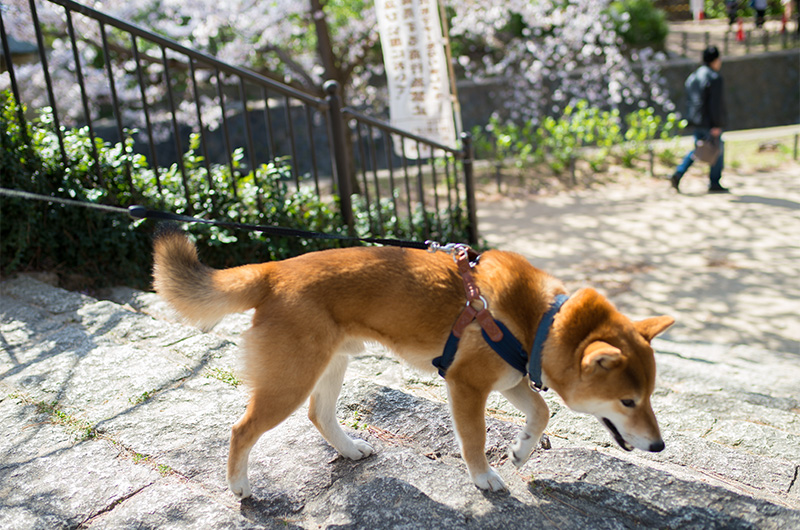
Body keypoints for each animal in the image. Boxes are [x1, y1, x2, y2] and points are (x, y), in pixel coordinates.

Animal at [152, 230, 676, 496]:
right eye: (628, 401)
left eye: (650, 396)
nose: (659, 447)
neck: (540, 320)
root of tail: (274, 270)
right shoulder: (467, 386)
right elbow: (474, 439)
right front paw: (485, 477)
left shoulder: (510, 380)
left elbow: (542, 411)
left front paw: (522, 450)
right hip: (290, 381)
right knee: (242, 430)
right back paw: (239, 486)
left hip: (329, 366)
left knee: (319, 415)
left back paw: (350, 450)